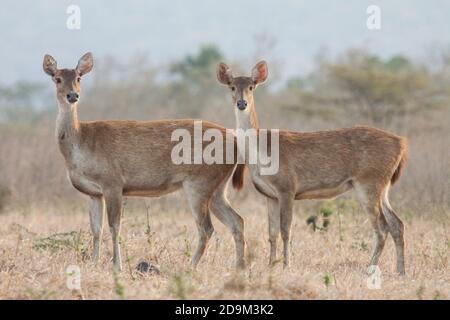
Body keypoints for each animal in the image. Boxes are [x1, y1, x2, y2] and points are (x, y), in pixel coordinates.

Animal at [42, 52, 246, 270]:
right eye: (57, 78)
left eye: (79, 77)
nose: (72, 96)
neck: (81, 143)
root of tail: (236, 141)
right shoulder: (94, 193)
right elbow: (96, 228)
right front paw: (94, 263)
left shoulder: (113, 182)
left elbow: (114, 226)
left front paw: (117, 266)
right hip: (218, 187)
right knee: (237, 221)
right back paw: (239, 268)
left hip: (200, 182)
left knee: (207, 228)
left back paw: (189, 267)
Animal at [216, 60, 410, 276]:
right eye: (232, 86)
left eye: (251, 86)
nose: (242, 104)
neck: (261, 154)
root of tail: (402, 144)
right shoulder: (269, 195)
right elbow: (271, 232)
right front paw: (270, 265)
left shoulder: (287, 187)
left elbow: (286, 230)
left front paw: (286, 265)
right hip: (383, 187)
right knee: (397, 224)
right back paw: (400, 271)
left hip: (369, 182)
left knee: (382, 228)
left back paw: (370, 269)